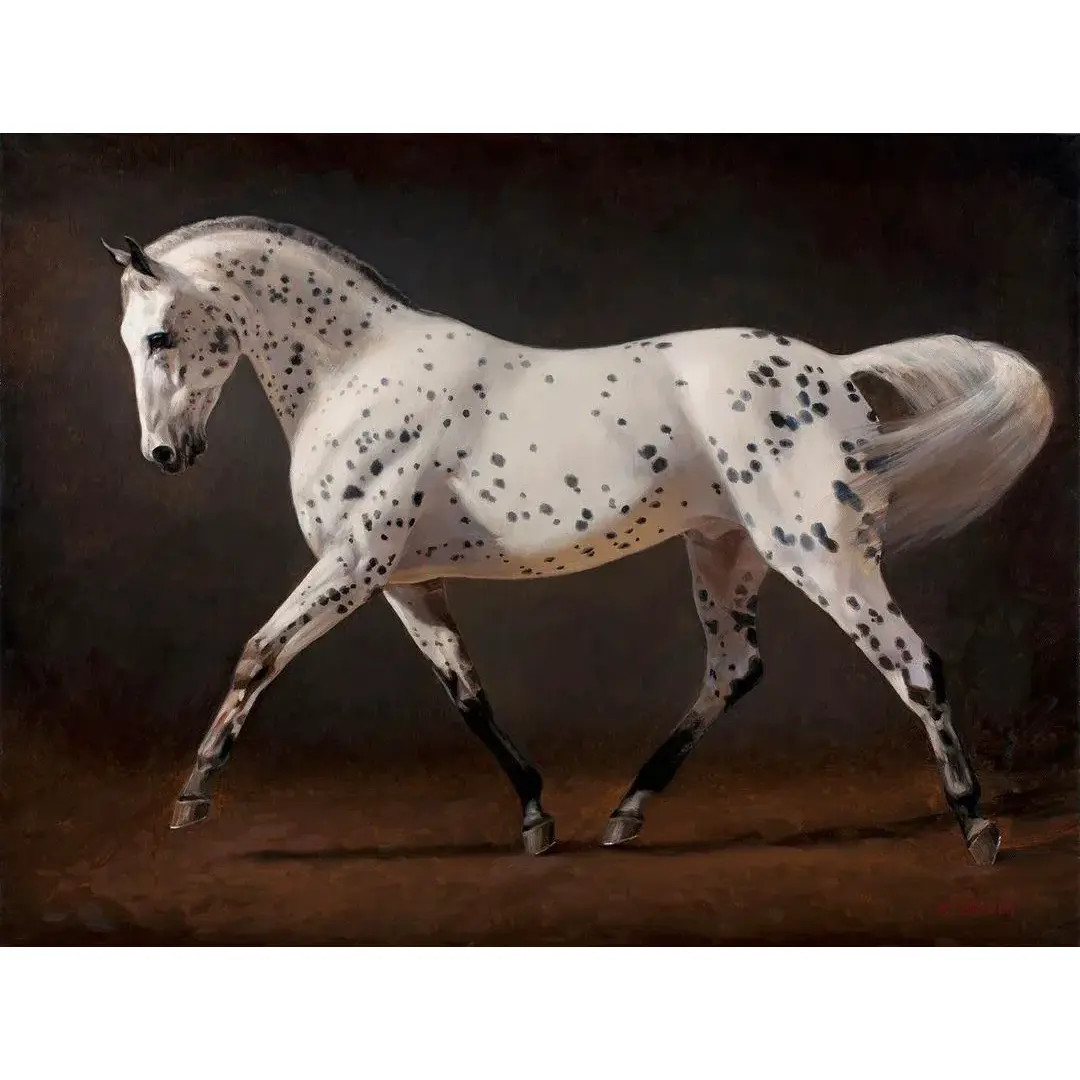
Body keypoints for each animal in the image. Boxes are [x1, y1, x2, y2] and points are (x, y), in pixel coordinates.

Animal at [101, 217, 1053, 865]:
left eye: (158, 335)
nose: (163, 455)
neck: (360, 371)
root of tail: (839, 371)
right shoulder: (404, 581)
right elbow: (467, 696)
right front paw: (536, 817)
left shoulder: (352, 565)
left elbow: (258, 655)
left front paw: (191, 799)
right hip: (725, 552)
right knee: (734, 668)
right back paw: (626, 813)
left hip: (819, 551)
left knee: (913, 664)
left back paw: (978, 827)